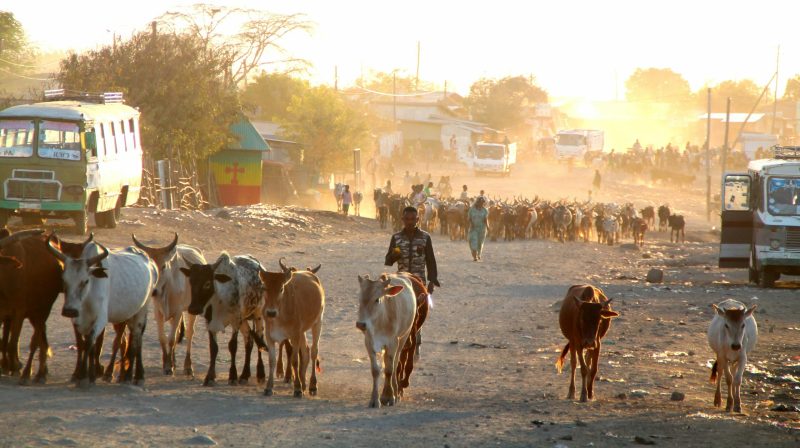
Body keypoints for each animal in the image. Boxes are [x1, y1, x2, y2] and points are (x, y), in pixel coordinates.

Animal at [48, 236, 159, 386]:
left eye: (85, 281)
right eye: (64, 280)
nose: (69, 311)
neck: (87, 297)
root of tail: (150, 262)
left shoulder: (100, 319)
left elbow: (89, 342)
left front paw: (84, 377)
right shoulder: (78, 320)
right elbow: (85, 345)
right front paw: (87, 375)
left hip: (142, 310)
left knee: (136, 340)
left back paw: (133, 376)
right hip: (128, 314)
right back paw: (126, 375)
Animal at [133, 234, 206, 378]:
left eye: (164, 266)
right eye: (151, 267)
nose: (154, 291)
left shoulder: (178, 312)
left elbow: (171, 339)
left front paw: (168, 367)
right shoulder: (158, 312)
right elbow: (163, 338)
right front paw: (167, 364)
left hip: (191, 310)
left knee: (189, 333)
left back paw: (188, 366)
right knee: (178, 333)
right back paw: (174, 361)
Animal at [358, 272, 418, 410]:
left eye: (377, 299)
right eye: (359, 299)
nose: (361, 324)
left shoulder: (392, 342)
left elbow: (389, 369)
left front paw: (389, 397)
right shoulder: (369, 342)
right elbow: (375, 370)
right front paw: (374, 400)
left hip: (403, 338)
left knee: (395, 364)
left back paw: (395, 391)